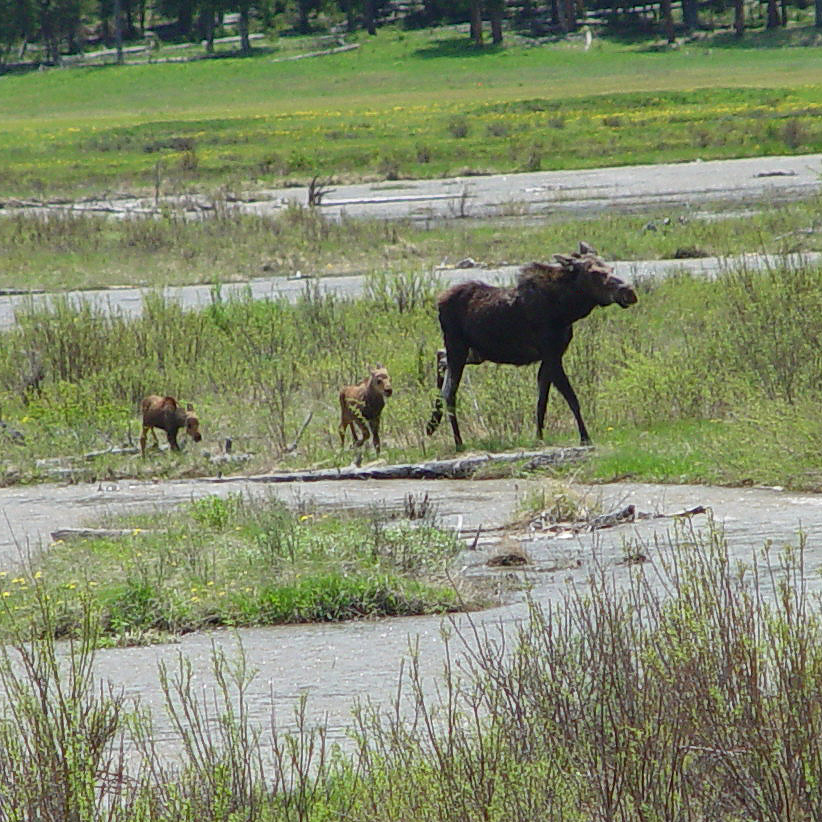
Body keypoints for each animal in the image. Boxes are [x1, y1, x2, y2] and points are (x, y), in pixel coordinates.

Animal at [428, 243, 640, 450]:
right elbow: (572, 398)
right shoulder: (551, 355)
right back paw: (457, 441)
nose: (629, 292)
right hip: (458, 347)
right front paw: (585, 438)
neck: (566, 310)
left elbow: (542, 402)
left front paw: (539, 438)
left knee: (440, 357)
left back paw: (432, 424)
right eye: (595, 272)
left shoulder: (551, 356)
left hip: (475, 353)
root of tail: (438, 301)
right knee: (450, 392)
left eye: (611, 268)